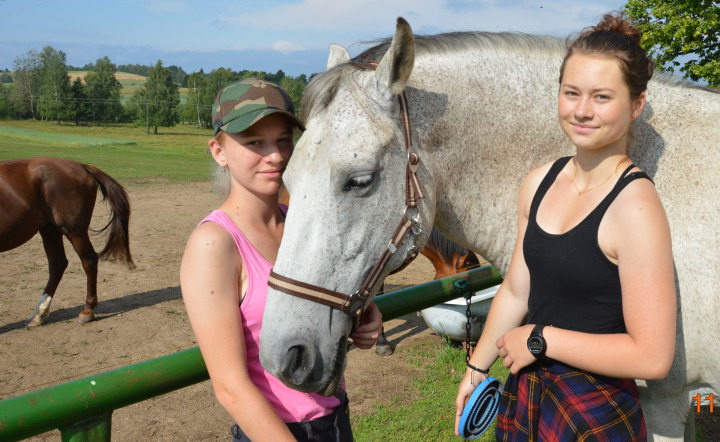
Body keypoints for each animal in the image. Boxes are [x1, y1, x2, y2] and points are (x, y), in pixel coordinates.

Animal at [0, 157, 134, 326]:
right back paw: (40, 312)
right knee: (58, 264)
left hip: (74, 230)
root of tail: (82, 165)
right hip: (49, 229)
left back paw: (87, 310)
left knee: (89, 260)